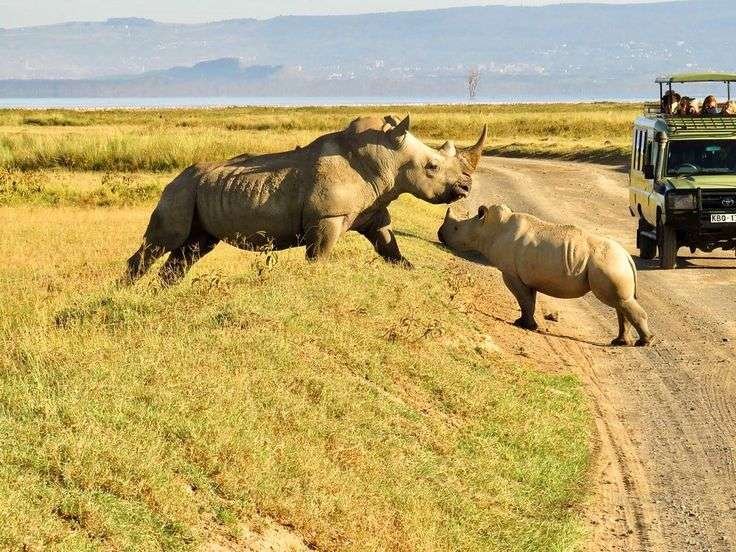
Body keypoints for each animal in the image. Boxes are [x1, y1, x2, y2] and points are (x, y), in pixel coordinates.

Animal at [125, 115, 487, 284]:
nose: (466, 188)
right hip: (179, 192)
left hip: (198, 194)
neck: (387, 157)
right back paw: (124, 292)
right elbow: (319, 256)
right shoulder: (327, 218)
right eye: (432, 166)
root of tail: (172, 180)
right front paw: (316, 279)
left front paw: (409, 269)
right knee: (163, 242)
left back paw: (160, 295)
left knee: (192, 249)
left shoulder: (374, 211)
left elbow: (389, 246)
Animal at [438, 204, 653, 346]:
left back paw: (644, 342)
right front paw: (527, 324)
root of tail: (627, 257)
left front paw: (524, 325)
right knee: (619, 302)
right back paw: (620, 342)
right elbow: (529, 301)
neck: (487, 229)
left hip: (609, 263)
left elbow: (523, 299)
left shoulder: (511, 273)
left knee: (619, 301)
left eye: (455, 228)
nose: (440, 235)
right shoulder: (527, 276)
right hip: (613, 263)